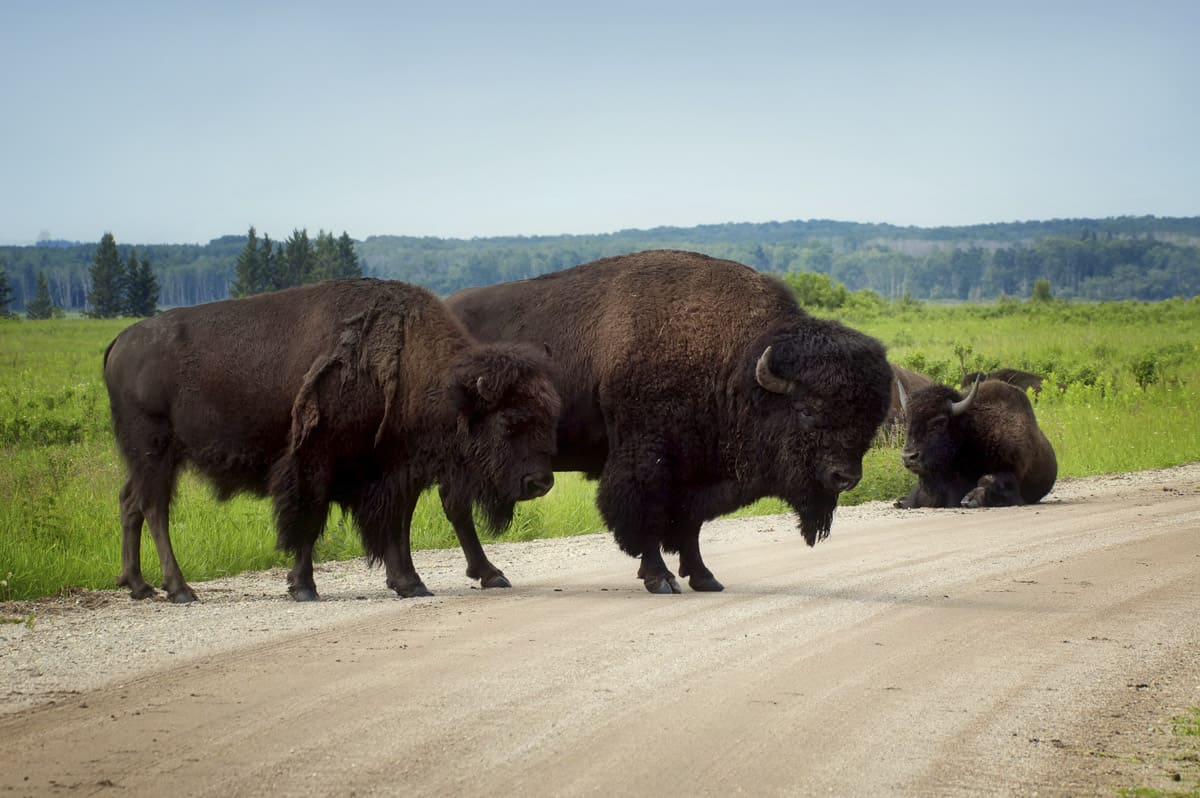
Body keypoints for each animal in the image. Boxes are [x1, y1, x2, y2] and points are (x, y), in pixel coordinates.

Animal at [103, 277, 561, 600]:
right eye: (508, 423)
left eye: (547, 417)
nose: (540, 482)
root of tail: (121, 342)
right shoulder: (316, 464)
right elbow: (309, 522)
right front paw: (304, 587)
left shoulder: (396, 470)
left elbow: (397, 524)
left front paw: (410, 583)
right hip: (154, 449)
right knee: (154, 508)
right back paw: (179, 590)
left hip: (147, 457)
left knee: (130, 502)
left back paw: (138, 586)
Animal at [446, 249, 897, 590]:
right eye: (807, 410)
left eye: (870, 417)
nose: (845, 477)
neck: (734, 363)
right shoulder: (648, 461)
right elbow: (649, 518)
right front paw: (660, 578)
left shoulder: (694, 471)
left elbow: (688, 525)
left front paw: (703, 577)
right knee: (458, 509)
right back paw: (491, 574)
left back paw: (487, 574)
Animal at [892, 376, 1060, 506]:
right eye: (907, 421)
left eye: (940, 422)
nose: (909, 457)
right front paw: (902, 501)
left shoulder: (1011, 469)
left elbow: (988, 479)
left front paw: (970, 499)